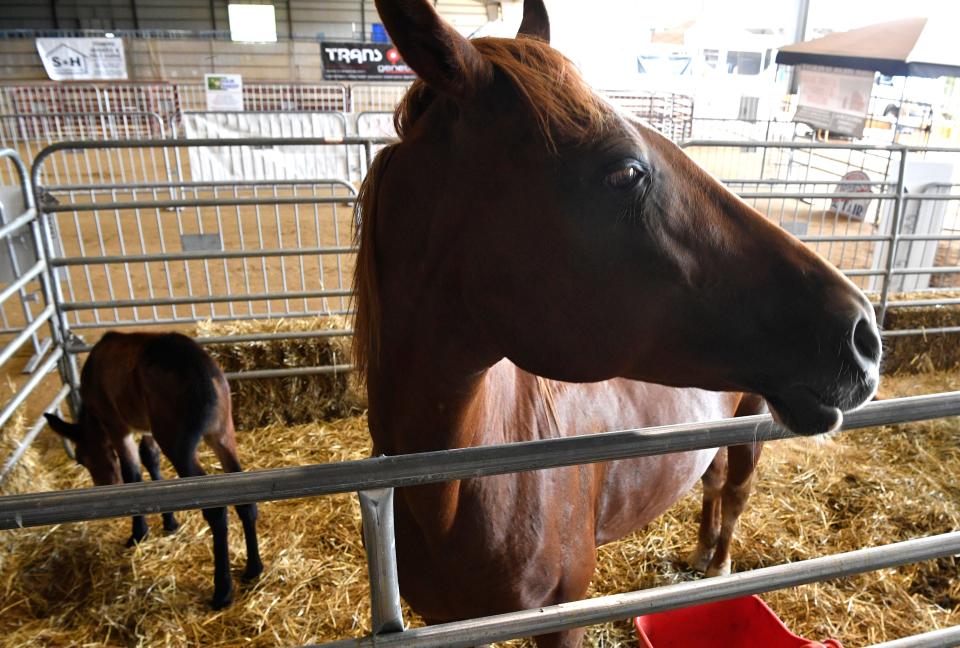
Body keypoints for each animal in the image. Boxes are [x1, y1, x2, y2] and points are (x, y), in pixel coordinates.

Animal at [44, 332, 262, 612]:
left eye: (81, 459)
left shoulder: (118, 425)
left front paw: (138, 532)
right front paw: (169, 522)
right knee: (244, 498)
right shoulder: (147, 427)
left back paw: (222, 591)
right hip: (222, 432)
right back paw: (253, 569)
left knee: (215, 510)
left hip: (179, 445)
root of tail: (207, 377)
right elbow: (151, 462)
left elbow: (133, 475)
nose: (105, 483)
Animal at [356, 2, 880, 644]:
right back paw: (700, 555)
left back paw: (719, 563)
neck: (454, 490)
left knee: (734, 494)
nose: (863, 334)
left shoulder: (563, 617)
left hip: (753, 425)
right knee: (711, 486)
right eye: (627, 171)